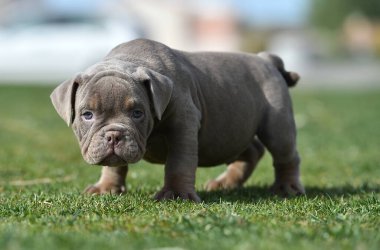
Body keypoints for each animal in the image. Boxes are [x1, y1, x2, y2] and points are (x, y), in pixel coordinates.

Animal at [50, 39, 306, 203]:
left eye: (137, 113)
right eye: (87, 115)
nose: (114, 136)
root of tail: (266, 60)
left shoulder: (183, 125)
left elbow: (178, 162)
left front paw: (175, 194)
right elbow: (114, 165)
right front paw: (106, 188)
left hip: (276, 122)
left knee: (285, 154)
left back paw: (287, 188)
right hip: (230, 130)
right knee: (251, 150)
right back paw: (225, 183)